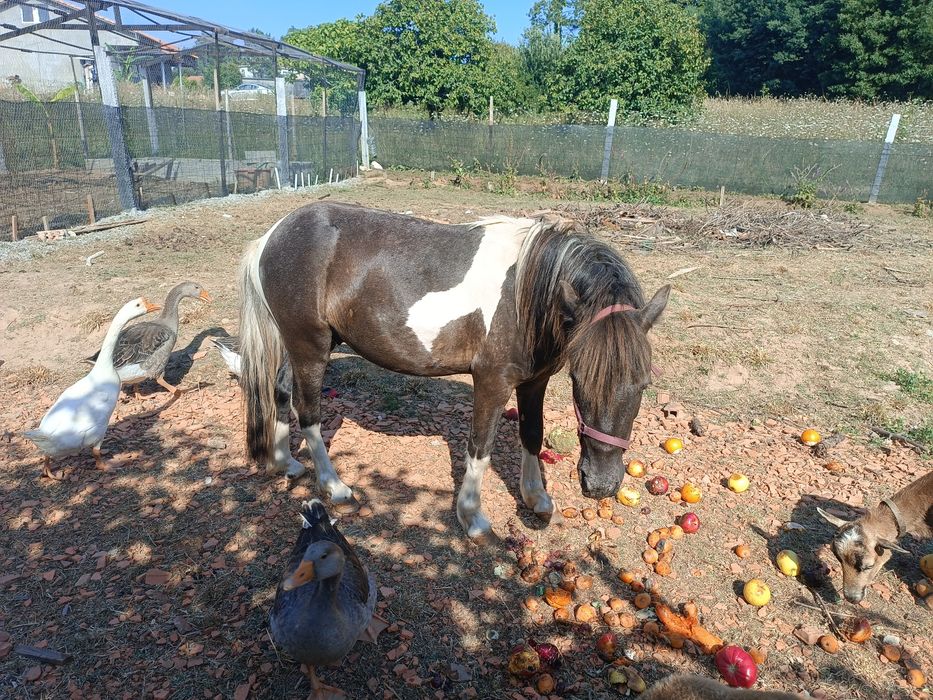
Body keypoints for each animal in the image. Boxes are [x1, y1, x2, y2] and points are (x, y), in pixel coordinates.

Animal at [239, 202, 669, 539]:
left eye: (643, 384)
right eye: (581, 380)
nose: (601, 485)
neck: (527, 291)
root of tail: (271, 236)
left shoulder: (535, 381)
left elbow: (532, 434)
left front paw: (535, 497)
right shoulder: (493, 381)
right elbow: (480, 448)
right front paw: (472, 517)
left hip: (298, 346)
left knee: (279, 392)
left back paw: (285, 463)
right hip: (310, 347)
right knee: (308, 413)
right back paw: (335, 487)